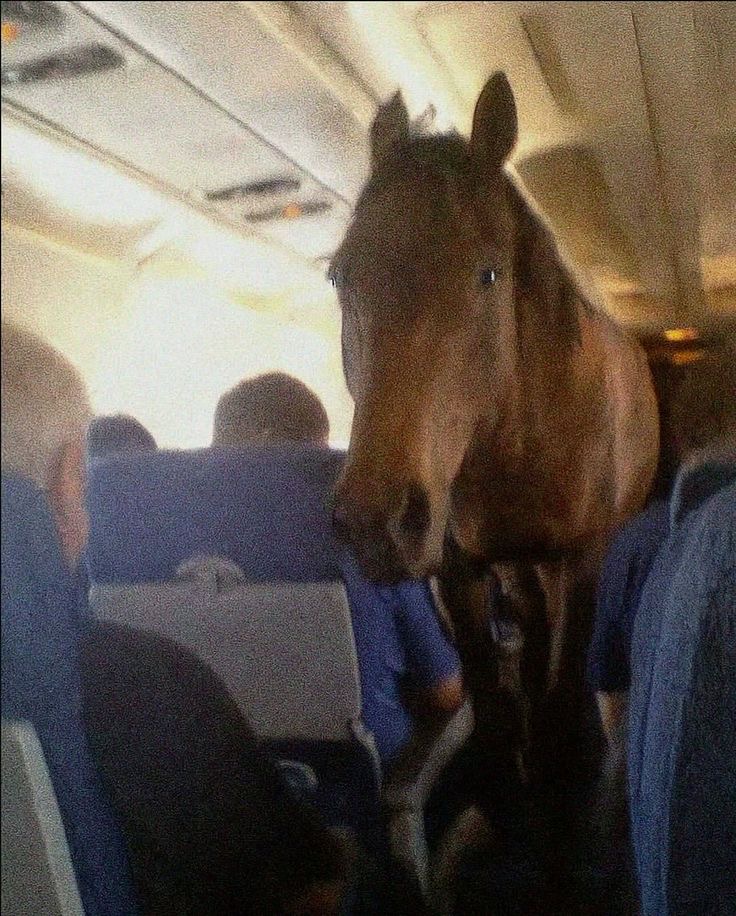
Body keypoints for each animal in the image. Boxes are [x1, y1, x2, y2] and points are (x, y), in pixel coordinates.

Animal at [329, 73, 659, 910]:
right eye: (341, 274)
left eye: (488, 273)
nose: (377, 520)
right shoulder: (460, 573)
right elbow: (492, 714)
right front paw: (509, 811)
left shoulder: (580, 562)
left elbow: (558, 711)